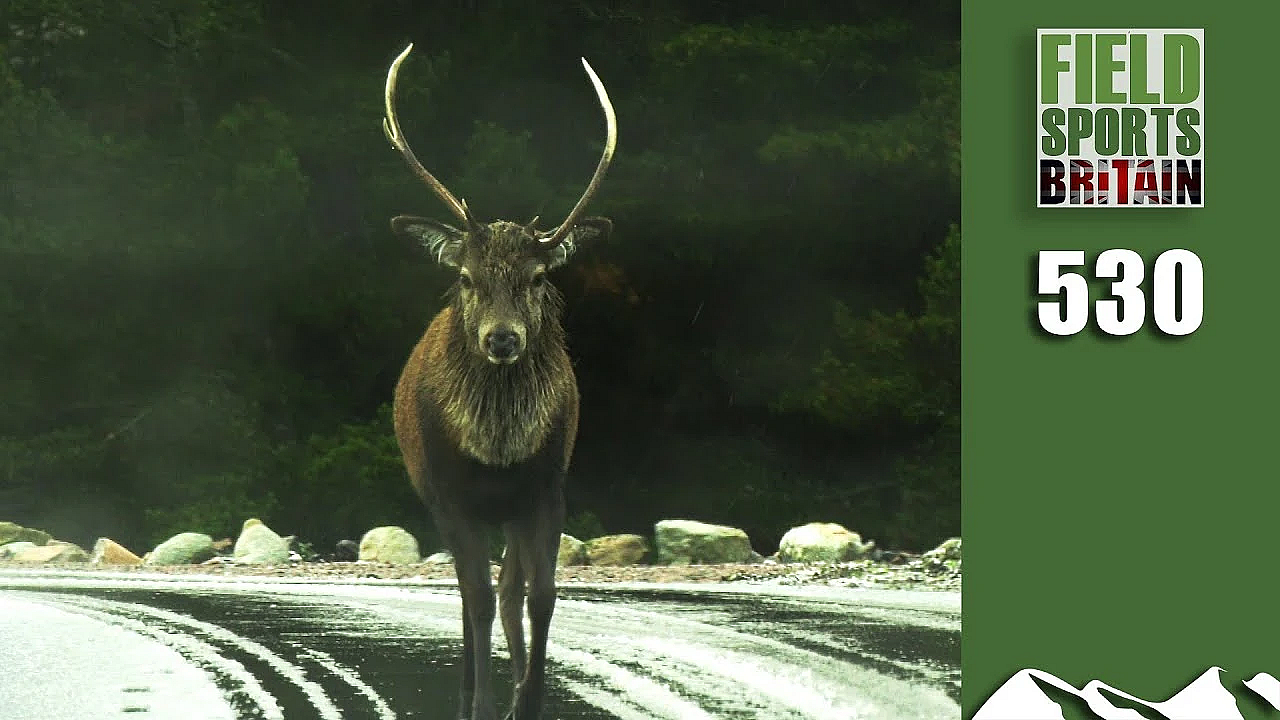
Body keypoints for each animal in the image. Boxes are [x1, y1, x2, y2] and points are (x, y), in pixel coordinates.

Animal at [382, 44, 615, 720]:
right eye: (467, 278)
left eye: (537, 279)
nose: (502, 338)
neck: (497, 450)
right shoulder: (450, 493)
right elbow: (477, 600)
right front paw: (481, 702)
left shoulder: (547, 486)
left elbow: (542, 595)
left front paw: (528, 701)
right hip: (438, 498)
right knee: (471, 598)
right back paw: (471, 691)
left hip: (511, 512)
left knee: (510, 588)